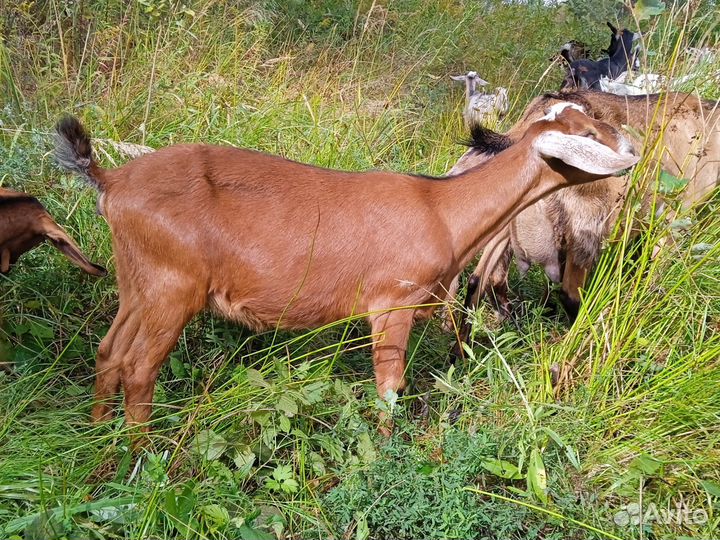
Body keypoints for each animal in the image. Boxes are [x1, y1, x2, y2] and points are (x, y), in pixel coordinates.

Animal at [54, 110, 637, 431]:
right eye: (589, 132)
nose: (632, 146)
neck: (442, 210)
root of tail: (111, 181)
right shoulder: (392, 303)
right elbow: (389, 387)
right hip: (173, 288)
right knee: (139, 370)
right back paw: (142, 462)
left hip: (138, 283)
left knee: (109, 353)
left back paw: (101, 442)